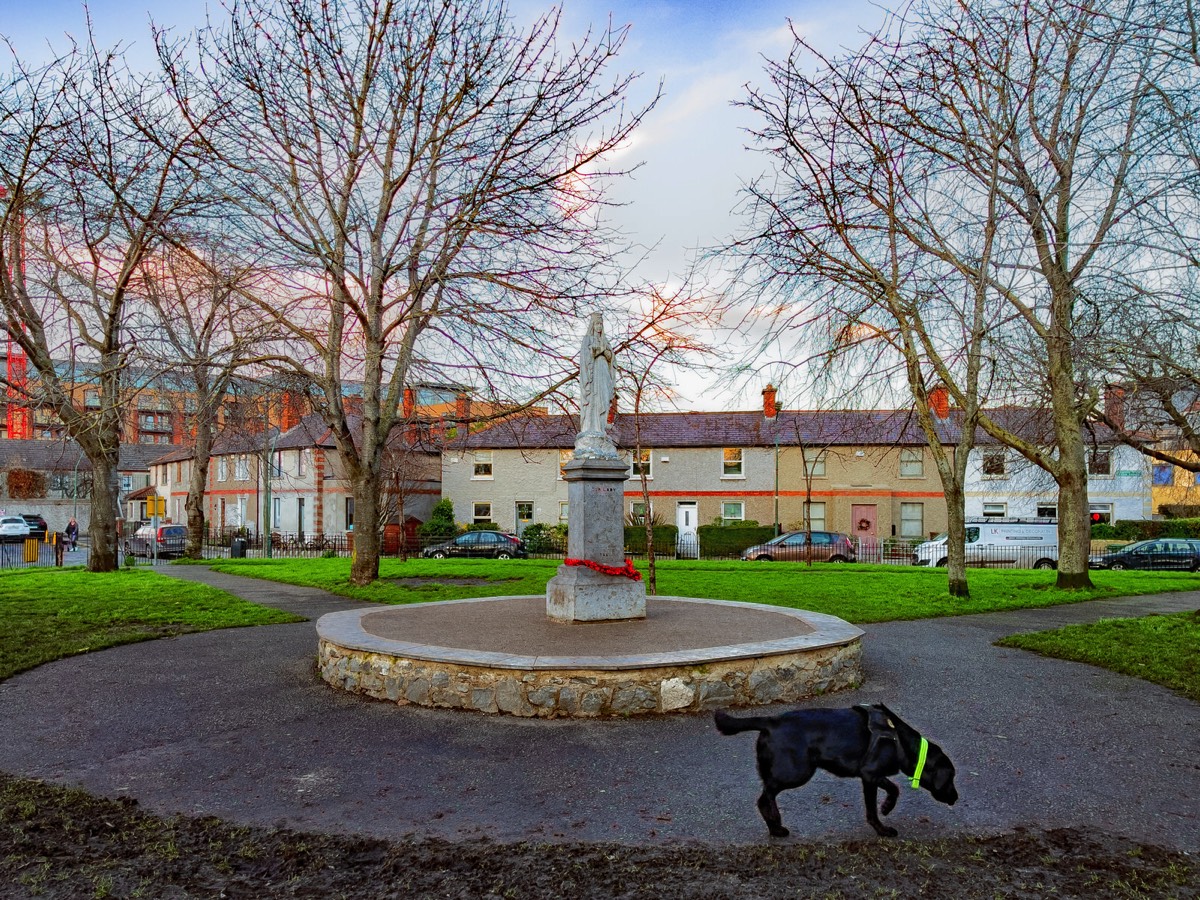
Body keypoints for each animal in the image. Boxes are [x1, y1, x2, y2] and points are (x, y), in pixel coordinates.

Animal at [715, 705, 960, 840]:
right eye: (951, 778)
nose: (956, 798)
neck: (900, 741)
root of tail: (770, 721)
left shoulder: (870, 776)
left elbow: (889, 792)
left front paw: (885, 812)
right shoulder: (870, 775)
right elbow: (880, 803)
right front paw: (883, 824)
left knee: (765, 794)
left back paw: (774, 828)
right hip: (797, 771)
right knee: (764, 796)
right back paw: (775, 822)